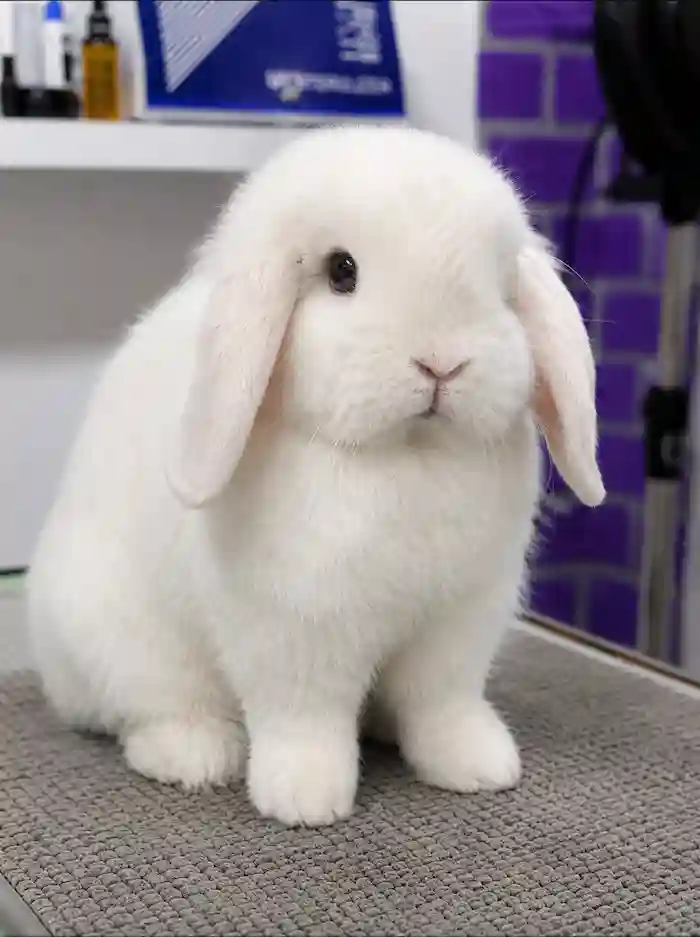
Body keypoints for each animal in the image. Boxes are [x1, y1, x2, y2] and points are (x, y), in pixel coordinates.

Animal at [27, 125, 604, 827]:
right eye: (341, 270)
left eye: (500, 286)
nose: (443, 363)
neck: (405, 455)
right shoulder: (296, 630)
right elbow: (305, 718)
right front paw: (304, 800)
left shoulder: (458, 623)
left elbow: (443, 704)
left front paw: (478, 767)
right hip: (127, 643)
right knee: (152, 708)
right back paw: (196, 756)